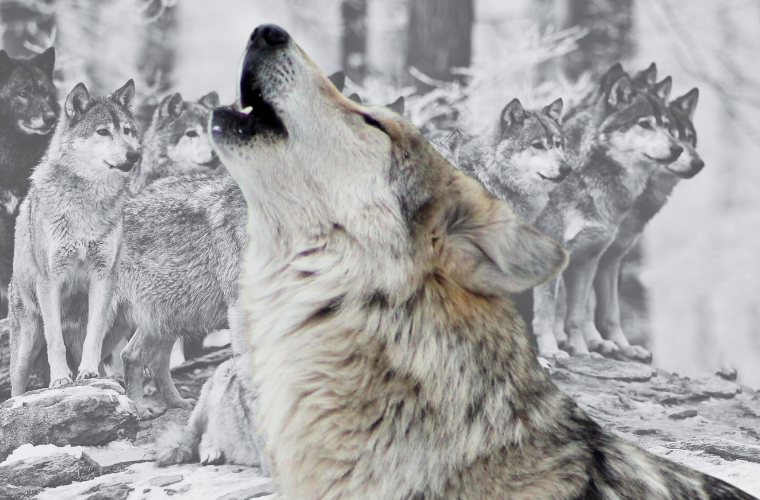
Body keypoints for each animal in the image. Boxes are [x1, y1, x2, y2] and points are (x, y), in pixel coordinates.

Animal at [8, 80, 140, 394]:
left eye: (127, 131)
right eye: (103, 132)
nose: (134, 155)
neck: (86, 204)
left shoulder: (104, 276)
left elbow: (94, 336)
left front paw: (88, 373)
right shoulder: (50, 280)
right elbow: (54, 341)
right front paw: (59, 379)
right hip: (24, 349)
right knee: (15, 389)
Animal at [532, 67, 683, 360]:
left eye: (666, 126)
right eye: (645, 124)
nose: (678, 149)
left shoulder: (590, 259)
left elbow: (577, 316)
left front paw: (583, 353)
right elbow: (547, 312)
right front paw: (552, 351)